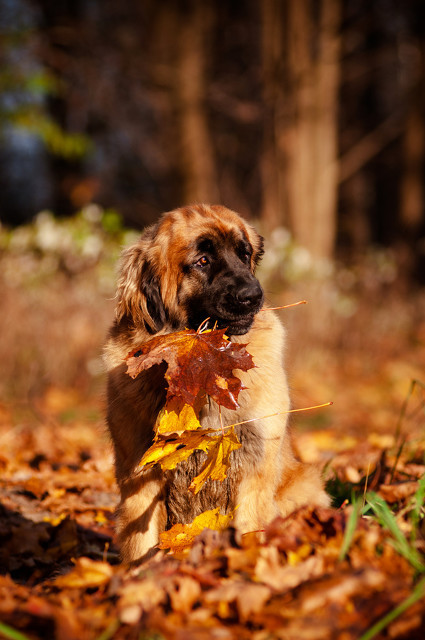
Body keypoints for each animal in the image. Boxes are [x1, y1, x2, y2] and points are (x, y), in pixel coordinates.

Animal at [103, 202, 328, 564]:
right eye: (203, 261)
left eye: (244, 254)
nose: (253, 295)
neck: (202, 367)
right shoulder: (141, 475)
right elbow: (143, 543)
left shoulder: (254, 465)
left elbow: (250, 527)